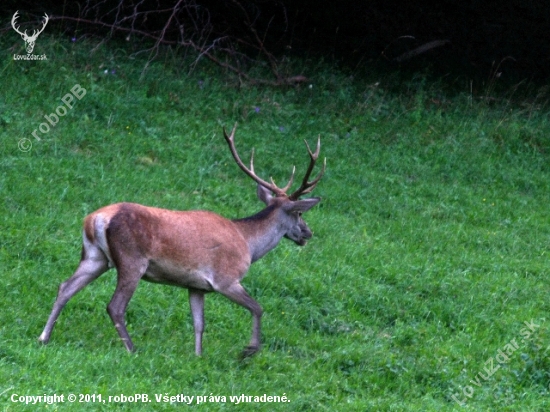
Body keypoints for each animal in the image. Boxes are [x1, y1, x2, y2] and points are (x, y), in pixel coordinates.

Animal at [38, 123, 328, 358]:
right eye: (299, 213)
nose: (308, 233)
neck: (248, 242)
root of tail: (96, 219)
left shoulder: (196, 285)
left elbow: (199, 323)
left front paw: (198, 356)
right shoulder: (226, 278)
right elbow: (258, 308)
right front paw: (249, 350)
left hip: (95, 256)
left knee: (65, 287)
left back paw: (44, 337)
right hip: (131, 259)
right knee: (115, 306)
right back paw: (132, 349)